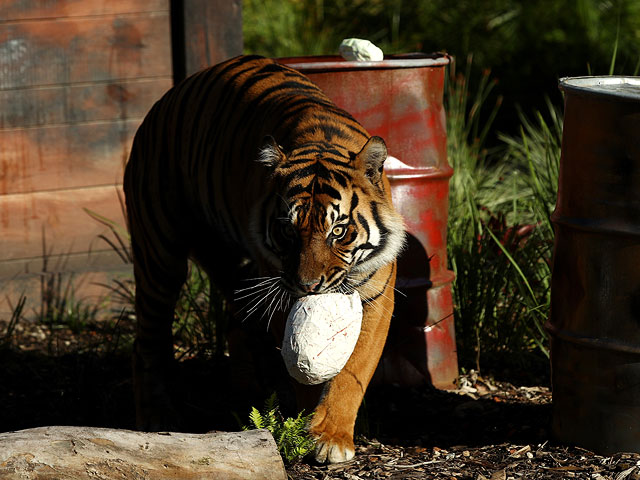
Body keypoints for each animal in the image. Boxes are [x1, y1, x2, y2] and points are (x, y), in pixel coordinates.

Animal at [123, 54, 404, 464]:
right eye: (288, 231)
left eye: (338, 231)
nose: (308, 286)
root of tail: (166, 99)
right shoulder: (279, 290)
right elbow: (300, 367)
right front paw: (308, 422)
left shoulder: (377, 295)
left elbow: (354, 369)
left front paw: (332, 435)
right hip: (160, 253)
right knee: (149, 340)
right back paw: (156, 414)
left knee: (235, 326)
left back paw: (246, 397)